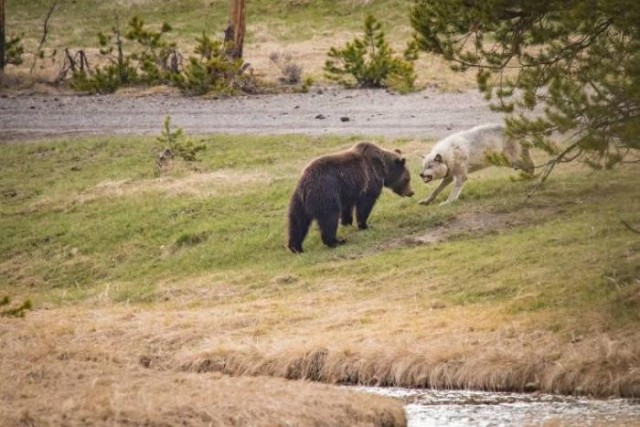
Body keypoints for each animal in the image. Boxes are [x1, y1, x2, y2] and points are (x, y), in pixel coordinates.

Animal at [286, 142, 416, 252]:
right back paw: (336, 241)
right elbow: (365, 205)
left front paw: (347, 222)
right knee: (329, 218)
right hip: (325, 193)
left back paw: (296, 247)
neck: (383, 169)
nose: (411, 192)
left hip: (298, 201)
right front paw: (365, 225)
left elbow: (347, 207)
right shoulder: (369, 181)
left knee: (297, 222)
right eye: (407, 179)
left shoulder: (347, 191)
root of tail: (306, 184)